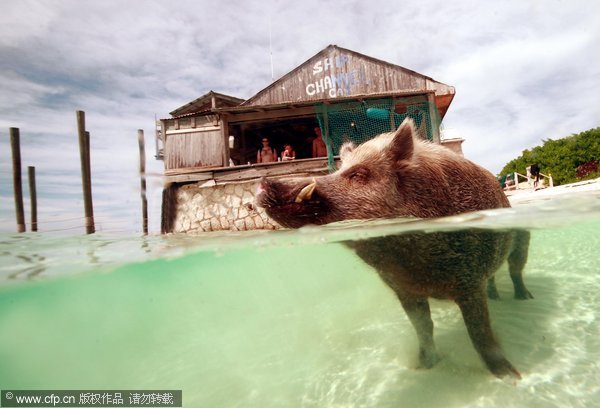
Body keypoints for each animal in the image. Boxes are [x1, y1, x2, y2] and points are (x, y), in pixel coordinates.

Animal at [255, 118, 532, 380]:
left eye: (358, 174)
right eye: (340, 169)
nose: (264, 182)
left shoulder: (470, 281)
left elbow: (479, 332)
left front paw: (511, 377)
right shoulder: (403, 290)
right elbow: (423, 327)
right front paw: (423, 366)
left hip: (522, 238)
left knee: (515, 270)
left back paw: (524, 298)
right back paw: (497, 296)